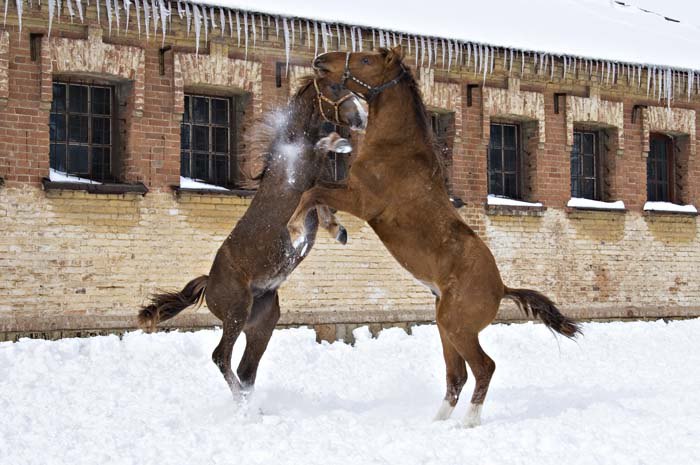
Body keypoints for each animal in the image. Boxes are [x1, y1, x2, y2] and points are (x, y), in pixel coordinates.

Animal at [137, 76, 366, 396]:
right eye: (333, 88)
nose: (361, 117)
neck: (292, 146)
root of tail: (209, 283)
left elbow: (322, 198)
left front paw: (337, 230)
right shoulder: (299, 178)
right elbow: (320, 169)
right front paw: (341, 145)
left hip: (263, 321)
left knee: (246, 370)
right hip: (237, 312)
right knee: (221, 357)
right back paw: (243, 403)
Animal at [288, 48, 584, 428]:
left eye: (367, 60)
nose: (322, 60)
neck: (395, 149)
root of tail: (501, 287)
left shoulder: (362, 201)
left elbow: (312, 192)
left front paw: (298, 231)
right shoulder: (350, 192)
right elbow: (317, 191)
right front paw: (334, 228)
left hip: (457, 328)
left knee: (484, 367)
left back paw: (468, 421)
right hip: (444, 325)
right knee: (456, 375)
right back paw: (438, 421)